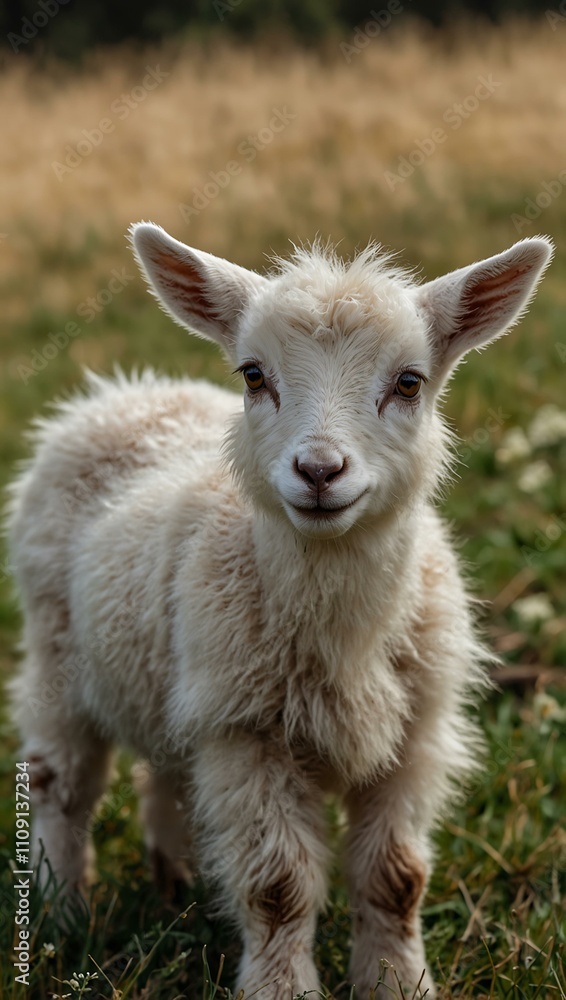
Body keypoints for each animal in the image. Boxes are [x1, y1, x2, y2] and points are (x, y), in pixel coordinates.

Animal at [8, 225, 552, 998]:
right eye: (253, 376)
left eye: (409, 382)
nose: (319, 472)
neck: (342, 635)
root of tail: (125, 391)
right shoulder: (250, 732)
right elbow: (278, 889)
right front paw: (282, 988)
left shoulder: (414, 734)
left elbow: (397, 879)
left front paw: (398, 982)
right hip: (57, 646)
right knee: (59, 781)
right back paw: (61, 914)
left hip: (181, 674)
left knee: (168, 768)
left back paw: (179, 882)